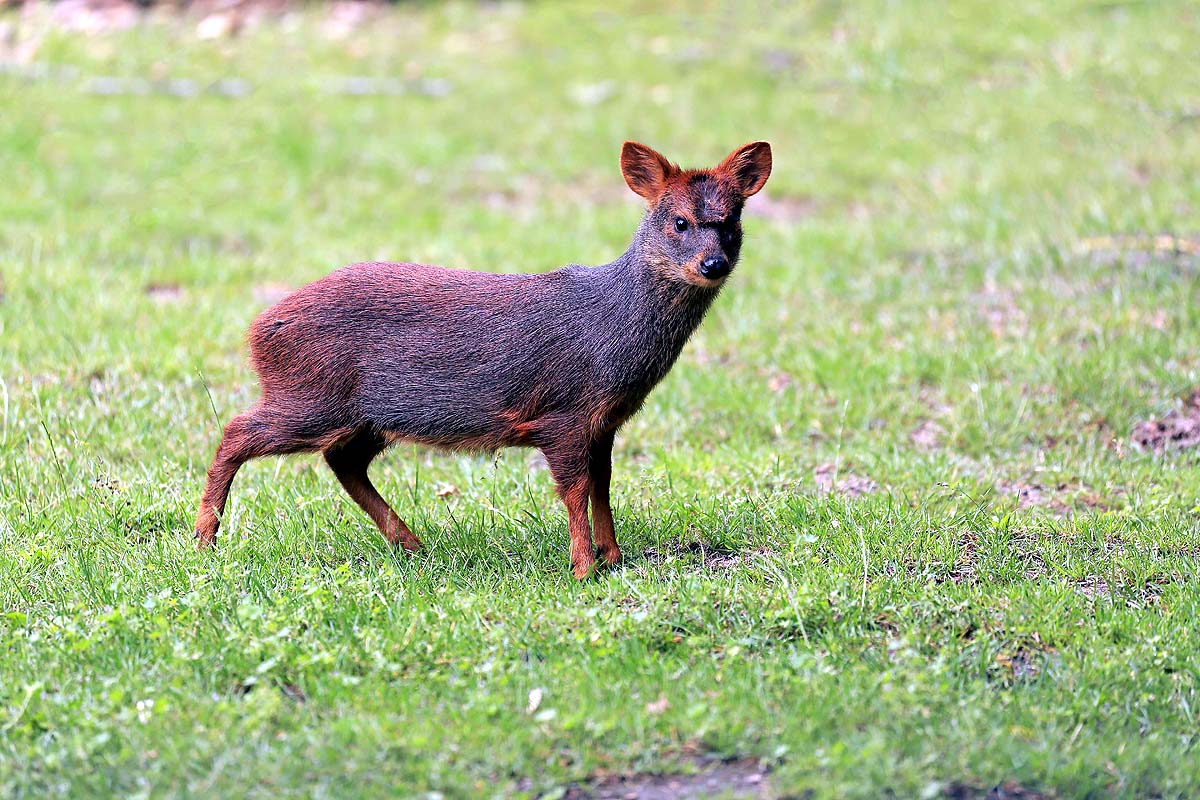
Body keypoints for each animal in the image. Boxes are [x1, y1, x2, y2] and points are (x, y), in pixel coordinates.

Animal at [193, 140, 772, 579]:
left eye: (731, 221)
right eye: (679, 221)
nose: (714, 263)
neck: (612, 328)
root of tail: (257, 330)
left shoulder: (604, 420)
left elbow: (604, 484)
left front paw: (613, 557)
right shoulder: (563, 413)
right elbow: (575, 489)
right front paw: (584, 568)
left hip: (365, 415)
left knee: (342, 460)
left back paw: (412, 544)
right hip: (311, 395)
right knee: (237, 431)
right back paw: (204, 539)